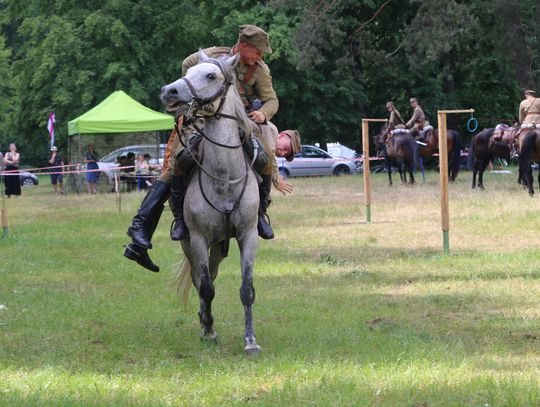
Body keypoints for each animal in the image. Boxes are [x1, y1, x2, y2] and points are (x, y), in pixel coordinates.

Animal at [159, 52, 262, 356]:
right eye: (188, 72)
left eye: (211, 76)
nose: (168, 91)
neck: (224, 180)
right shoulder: (197, 238)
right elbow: (205, 288)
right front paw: (209, 331)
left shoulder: (248, 235)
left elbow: (246, 289)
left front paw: (250, 341)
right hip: (194, 244)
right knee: (200, 281)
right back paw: (205, 321)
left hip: (218, 246)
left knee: (212, 276)